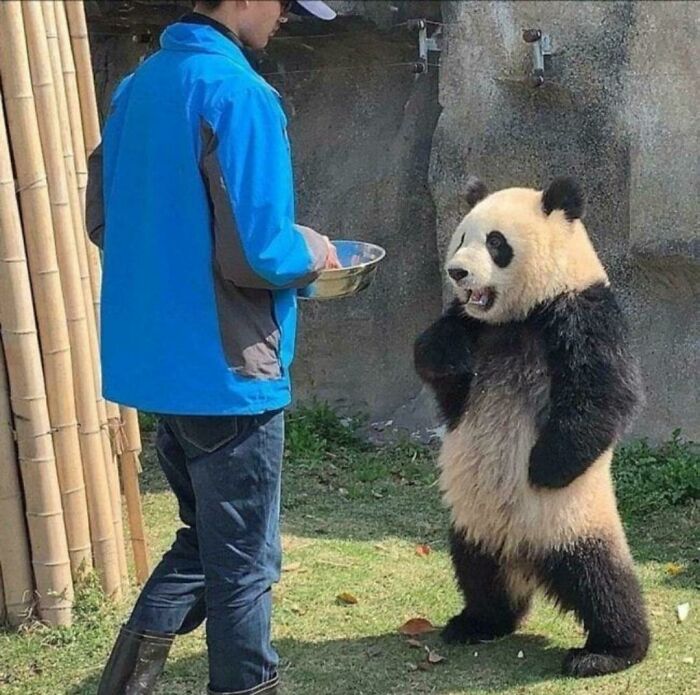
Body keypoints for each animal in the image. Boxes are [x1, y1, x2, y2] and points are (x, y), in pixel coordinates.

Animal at [414, 176, 650, 678]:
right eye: (461, 238)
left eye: (496, 243)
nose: (457, 273)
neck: (519, 316)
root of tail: (525, 555)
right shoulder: (473, 326)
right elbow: (440, 370)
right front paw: (451, 353)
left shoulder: (581, 310)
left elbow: (605, 393)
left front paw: (544, 466)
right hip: (473, 520)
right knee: (477, 571)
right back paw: (479, 622)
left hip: (573, 520)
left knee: (601, 581)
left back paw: (609, 651)